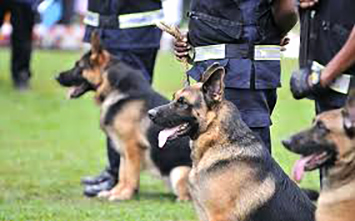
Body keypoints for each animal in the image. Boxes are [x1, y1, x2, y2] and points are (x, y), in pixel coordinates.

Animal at [56, 33, 193, 202]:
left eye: (79, 67)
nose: (56, 76)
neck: (117, 89)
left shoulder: (132, 146)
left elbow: (131, 175)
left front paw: (124, 195)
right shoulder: (123, 149)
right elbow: (123, 174)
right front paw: (114, 192)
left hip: (178, 173)